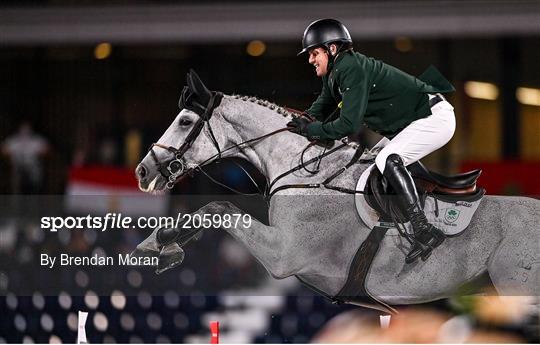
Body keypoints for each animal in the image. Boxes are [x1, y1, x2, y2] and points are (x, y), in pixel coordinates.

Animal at [132, 70, 540, 312]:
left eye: (185, 120)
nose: (143, 170)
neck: (306, 172)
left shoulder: (283, 255)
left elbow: (219, 208)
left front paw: (163, 243)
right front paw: (158, 244)